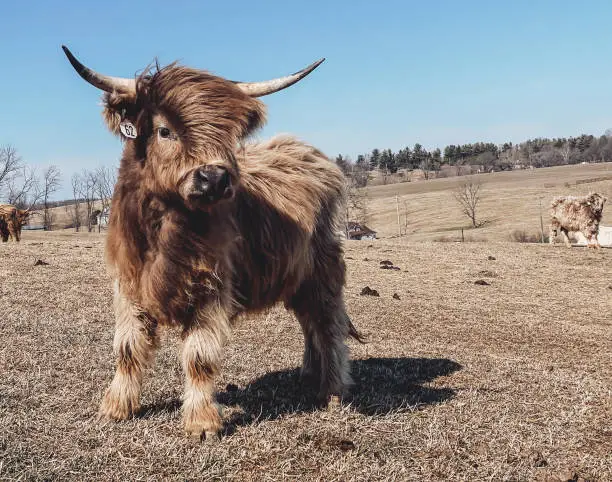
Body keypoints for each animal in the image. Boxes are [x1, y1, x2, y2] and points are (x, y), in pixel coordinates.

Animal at [63, 46, 358, 440]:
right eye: (164, 130)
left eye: (229, 135)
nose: (215, 179)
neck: (165, 232)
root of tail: (307, 152)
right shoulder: (128, 284)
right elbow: (127, 348)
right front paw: (116, 407)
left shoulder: (211, 287)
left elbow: (199, 357)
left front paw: (201, 423)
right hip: (296, 278)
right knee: (309, 322)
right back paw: (309, 375)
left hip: (323, 273)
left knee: (328, 325)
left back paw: (333, 390)